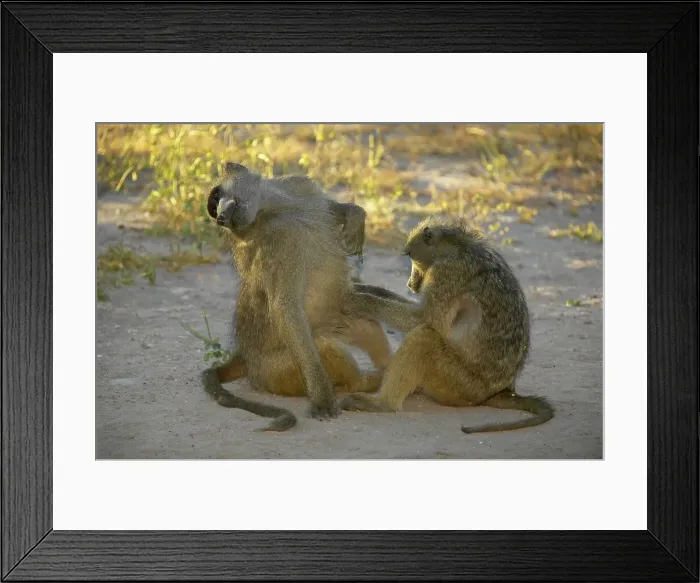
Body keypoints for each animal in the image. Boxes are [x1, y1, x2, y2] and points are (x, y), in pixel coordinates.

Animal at [201, 162, 402, 431]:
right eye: (215, 209)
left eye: (217, 198)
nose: (221, 217)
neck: (280, 206)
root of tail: (246, 359)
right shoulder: (282, 240)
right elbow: (285, 307)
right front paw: (321, 396)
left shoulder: (299, 186)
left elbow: (330, 208)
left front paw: (354, 216)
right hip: (278, 371)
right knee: (324, 346)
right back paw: (367, 382)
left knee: (365, 324)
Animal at [339, 216, 554, 434]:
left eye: (410, 255)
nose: (410, 283)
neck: (454, 245)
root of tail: (502, 391)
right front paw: (366, 288)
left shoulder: (445, 272)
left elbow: (423, 320)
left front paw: (355, 299)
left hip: (460, 386)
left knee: (424, 337)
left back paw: (382, 404)